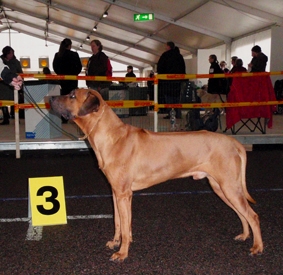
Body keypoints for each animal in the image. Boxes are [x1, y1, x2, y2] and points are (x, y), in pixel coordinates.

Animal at [49, 89, 264, 264]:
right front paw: (117, 242)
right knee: (241, 213)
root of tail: (233, 141)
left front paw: (122, 253)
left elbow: (124, 225)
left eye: (72, 95)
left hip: (229, 186)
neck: (111, 135)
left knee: (252, 215)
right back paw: (245, 236)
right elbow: (119, 222)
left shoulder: (123, 194)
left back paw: (257, 247)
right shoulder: (116, 192)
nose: (50, 98)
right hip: (220, 187)